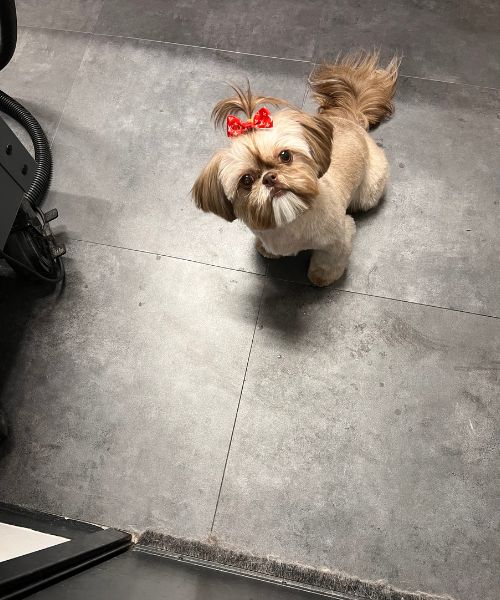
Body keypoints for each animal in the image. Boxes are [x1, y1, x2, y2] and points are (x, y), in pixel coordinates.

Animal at [191, 51, 398, 286]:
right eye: (246, 180)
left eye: (285, 156)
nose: (270, 177)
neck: (291, 219)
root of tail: (349, 118)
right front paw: (267, 250)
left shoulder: (339, 239)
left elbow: (328, 261)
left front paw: (321, 277)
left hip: (369, 192)